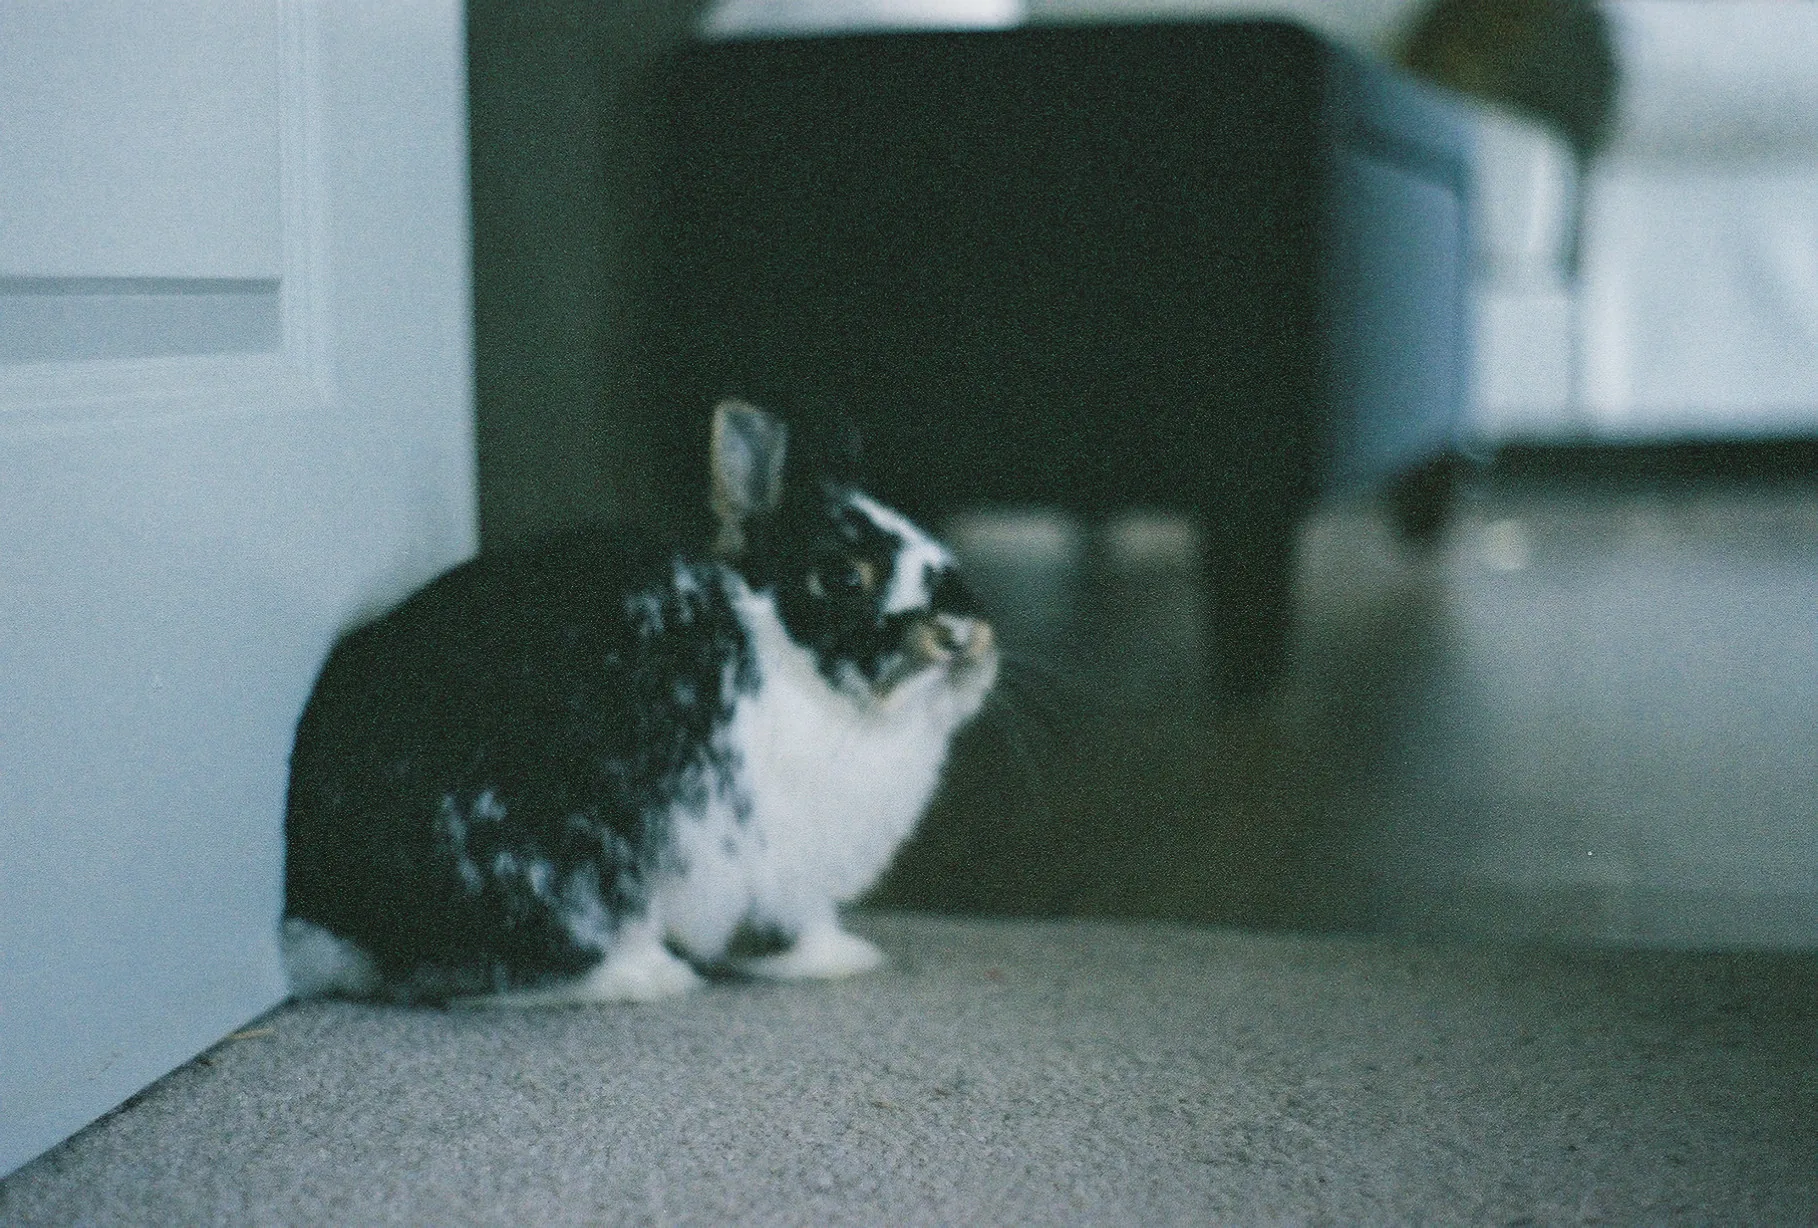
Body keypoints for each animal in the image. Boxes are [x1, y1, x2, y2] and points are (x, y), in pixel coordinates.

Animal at [281, 400, 997, 1006]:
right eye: (843, 577)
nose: (964, 637)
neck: (789, 659)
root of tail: (323, 919)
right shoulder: (782, 871)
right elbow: (799, 928)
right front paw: (841, 962)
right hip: (565, 874)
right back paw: (652, 977)